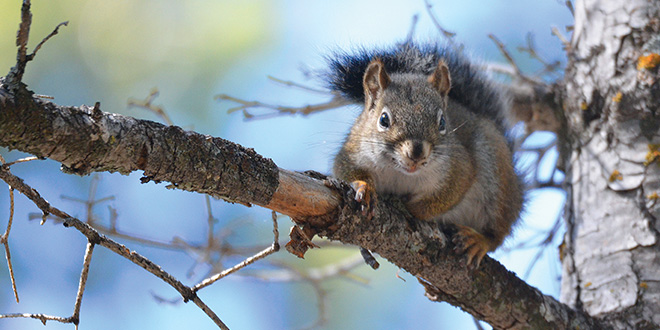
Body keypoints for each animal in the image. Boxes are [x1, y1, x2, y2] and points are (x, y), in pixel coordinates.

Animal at [328, 42, 524, 266]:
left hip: (497, 175)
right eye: (383, 119)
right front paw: (365, 187)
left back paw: (479, 241)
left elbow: (447, 194)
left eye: (442, 122)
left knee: (497, 233)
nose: (416, 153)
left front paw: (409, 208)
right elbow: (345, 170)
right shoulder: (352, 151)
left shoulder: (457, 166)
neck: (400, 172)